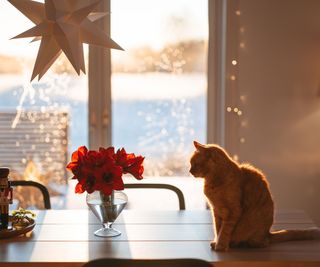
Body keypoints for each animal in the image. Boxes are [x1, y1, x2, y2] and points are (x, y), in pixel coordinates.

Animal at [189, 141, 318, 252]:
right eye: (191, 164)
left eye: (194, 164)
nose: (189, 171)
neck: (213, 181)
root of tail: (268, 233)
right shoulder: (216, 210)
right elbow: (217, 229)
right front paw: (216, 242)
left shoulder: (232, 211)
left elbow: (224, 231)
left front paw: (220, 245)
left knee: (263, 243)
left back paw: (242, 243)